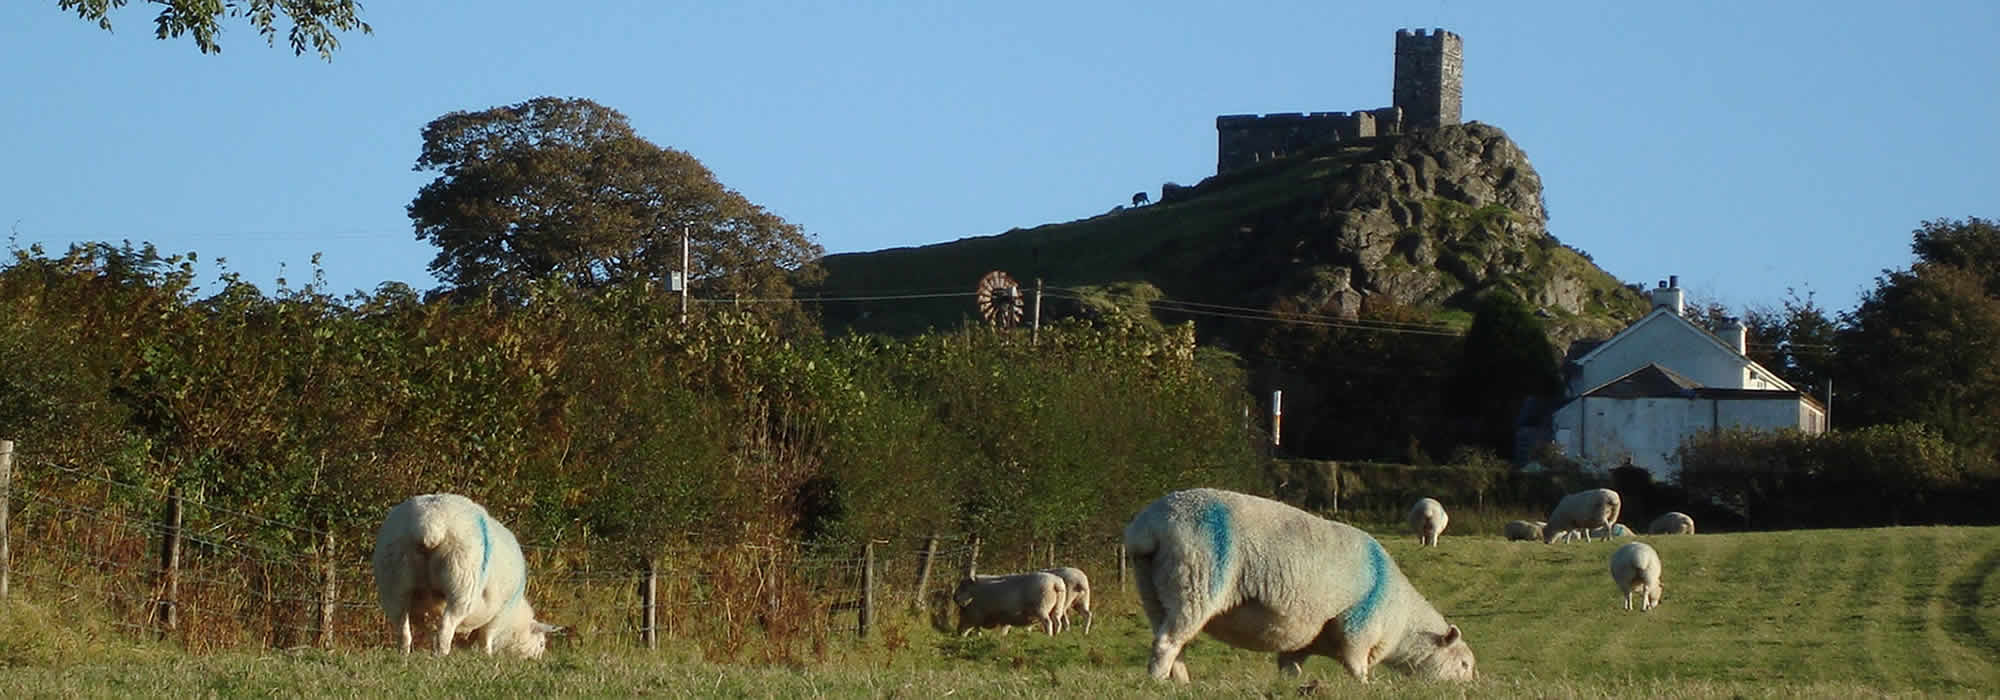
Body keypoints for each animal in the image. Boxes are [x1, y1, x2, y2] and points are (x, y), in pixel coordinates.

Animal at [374, 492, 564, 656]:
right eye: (542, 643)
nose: (538, 658)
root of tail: (430, 522)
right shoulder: (499, 615)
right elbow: (486, 637)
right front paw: (486, 656)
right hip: (463, 583)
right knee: (446, 628)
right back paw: (441, 655)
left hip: (393, 581)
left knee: (402, 628)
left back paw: (404, 654)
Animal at [1120, 486, 1480, 684]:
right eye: (1463, 664)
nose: (1469, 689)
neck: (1401, 619)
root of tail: (1148, 526)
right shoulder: (1358, 627)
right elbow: (1357, 668)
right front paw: (1365, 688)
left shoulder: (1300, 643)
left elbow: (1290, 669)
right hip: (1197, 580)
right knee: (1168, 642)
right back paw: (1158, 682)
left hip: (1154, 589)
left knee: (1171, 641)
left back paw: (1180, 683)